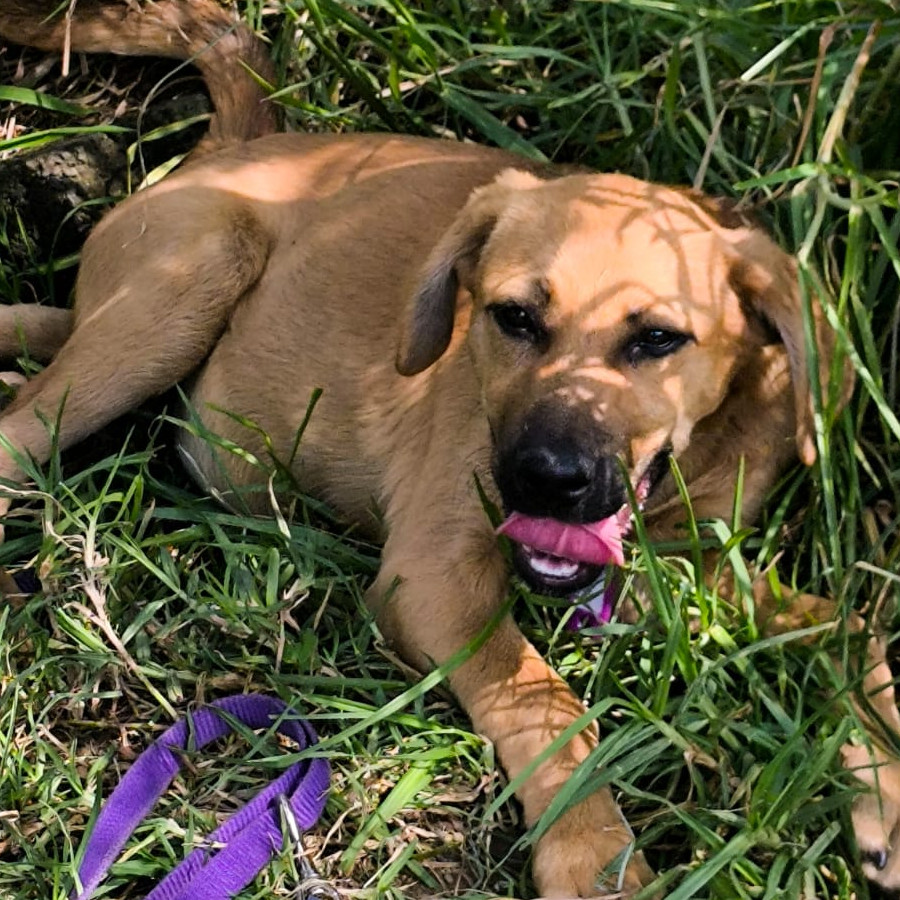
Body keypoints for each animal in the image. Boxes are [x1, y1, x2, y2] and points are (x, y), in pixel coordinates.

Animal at [1, 3, 900, 896]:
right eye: (514, 318)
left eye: (657, 338)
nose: (543, 482)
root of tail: (229, 149)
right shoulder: (434, 579)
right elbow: (544, 698)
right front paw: (593, 852)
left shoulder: (688, 570)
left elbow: (848, 625)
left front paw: (883, 790)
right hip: (184, 285)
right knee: (21, 432)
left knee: (37, 335)